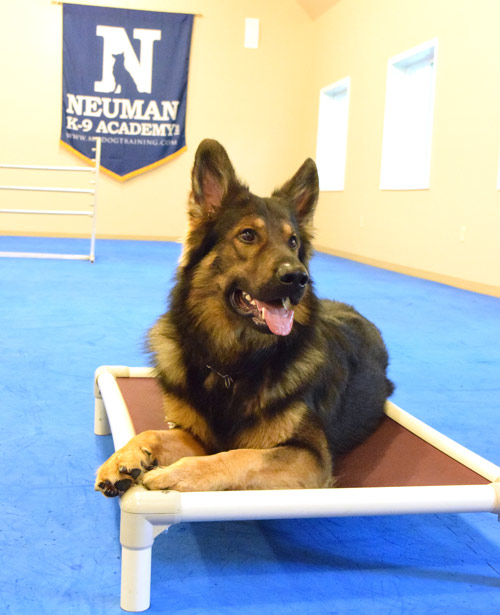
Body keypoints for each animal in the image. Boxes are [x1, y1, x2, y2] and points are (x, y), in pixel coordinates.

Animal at [95, 138, 392, 496]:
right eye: (248, 235)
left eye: (293, 241)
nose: (299, 278)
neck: (234, 365)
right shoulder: (197, 435)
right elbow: (154, 433)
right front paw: (126, 456)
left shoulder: (309, 458)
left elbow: (239, 456)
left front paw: (178, 474)